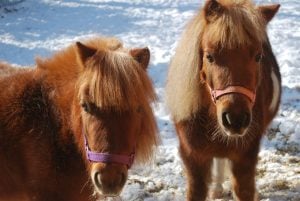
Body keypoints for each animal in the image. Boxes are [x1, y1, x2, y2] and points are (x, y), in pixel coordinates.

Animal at [166, 0, 282, 201]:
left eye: (258, 56)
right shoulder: (193, 160)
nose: (235, 119)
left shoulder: (245, 159)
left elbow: (244, 190)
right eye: (209, 56)